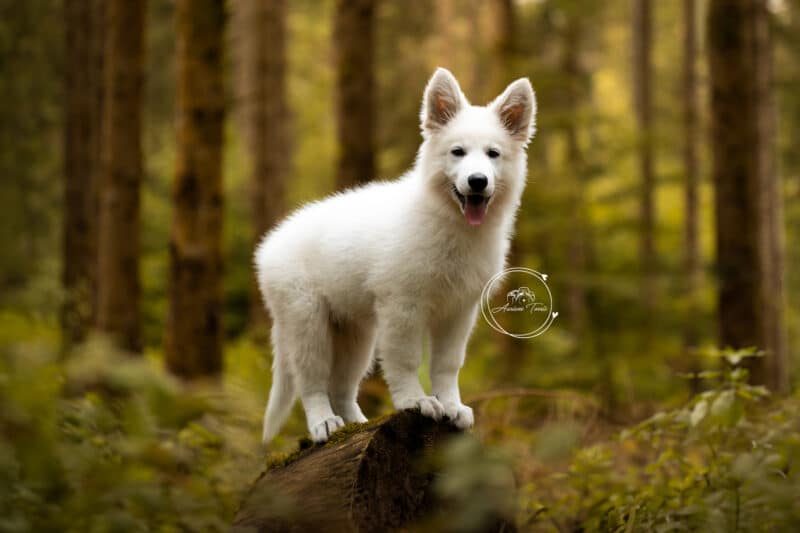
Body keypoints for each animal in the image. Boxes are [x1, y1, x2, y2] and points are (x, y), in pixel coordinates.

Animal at [253, 68, 536, 442]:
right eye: (457, 152)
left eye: (493, 154)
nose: (477, 181)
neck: (450, 225)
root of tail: (269, 244)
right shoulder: (403, 305)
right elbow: (406, 360)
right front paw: (416, 401)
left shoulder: (459, 311)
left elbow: (447, 364)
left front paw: (452, 406)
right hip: (307, 321)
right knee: (312, 381)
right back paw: (323, 423)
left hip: (355, 333)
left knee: (342, 387)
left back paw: (356, 425)